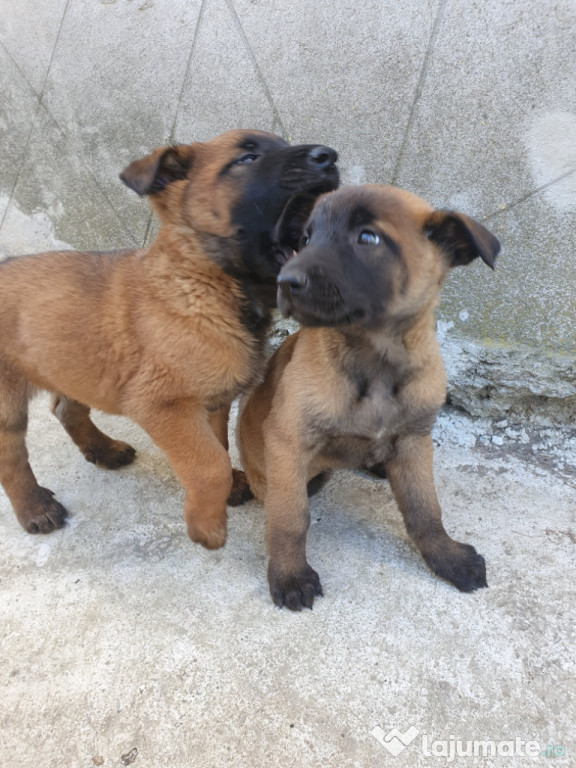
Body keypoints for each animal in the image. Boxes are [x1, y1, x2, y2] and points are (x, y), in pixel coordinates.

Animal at [0, 130, 338, 544]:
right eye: (247, 158)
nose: (329, 156)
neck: (203, 282)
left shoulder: (212, 401)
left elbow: (219, 445)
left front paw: (229, 490)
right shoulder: (163, 406)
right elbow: (209, 462)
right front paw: (206, 525)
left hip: (68, 362)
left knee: (65, 408)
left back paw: (103, 450)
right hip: (7, 399)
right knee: (11, 457)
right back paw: (35, 508)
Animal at [237, 183, 500, 608]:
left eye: (367, 238)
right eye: (306, 240)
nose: (284, 281)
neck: (375, 361)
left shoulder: (414, 441)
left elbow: (426, 510)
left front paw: (448, 558)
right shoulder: (289, 442)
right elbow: (290, 518)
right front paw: (290, 576)